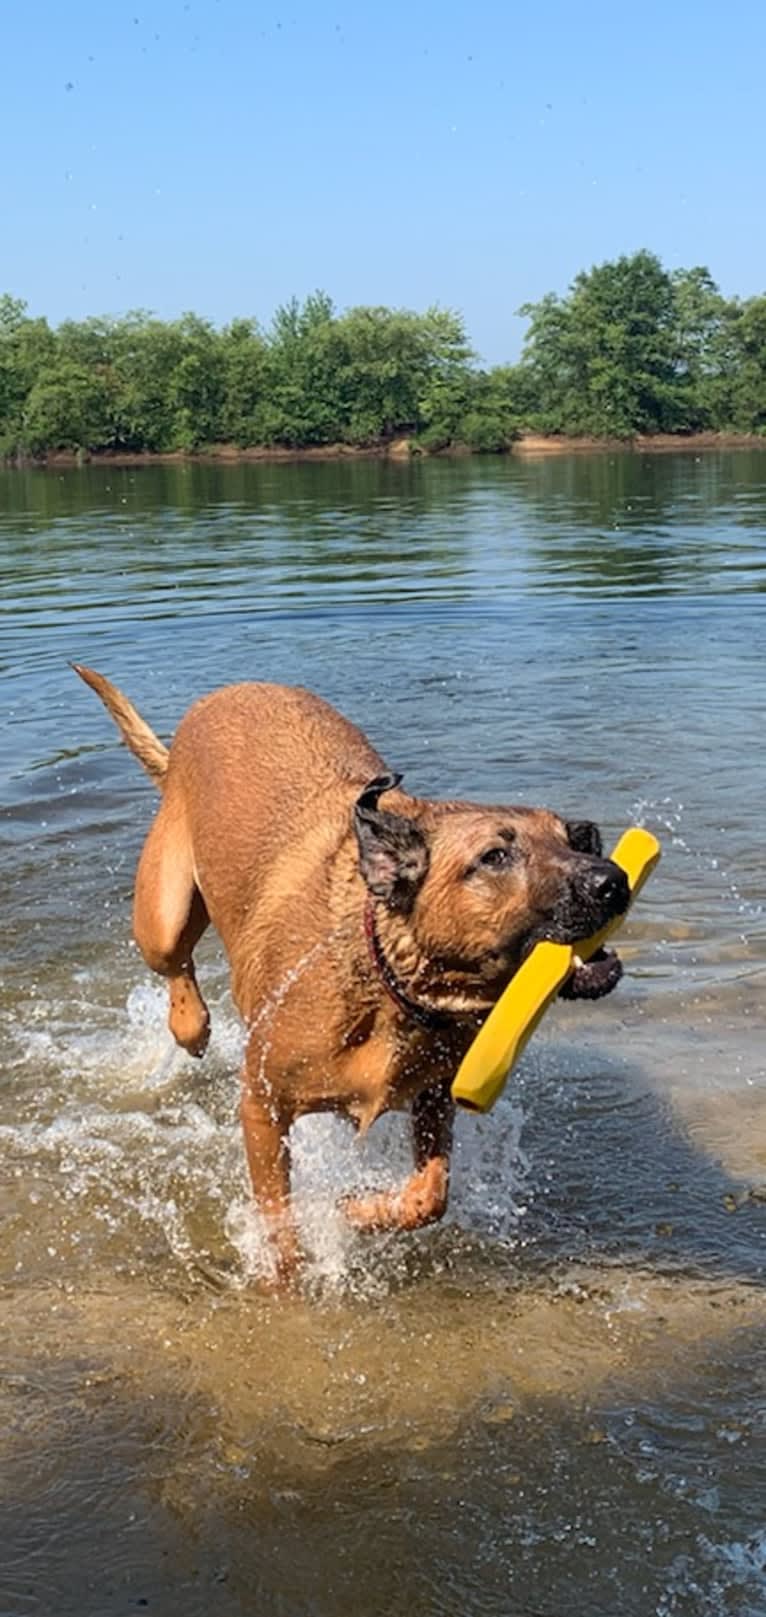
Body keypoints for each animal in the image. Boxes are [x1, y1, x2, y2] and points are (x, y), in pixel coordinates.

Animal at [74, 662, 630, 1280]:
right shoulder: (262, 1104)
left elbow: (430, 1195)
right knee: (177, 971)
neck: (389, 980)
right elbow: (278, 1221)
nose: (614, 881)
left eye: (572, 839)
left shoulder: (434, 1094)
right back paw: (190, 1024)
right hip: (163, 913)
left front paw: (359, 1210)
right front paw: (288, 1275)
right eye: (495, 857)